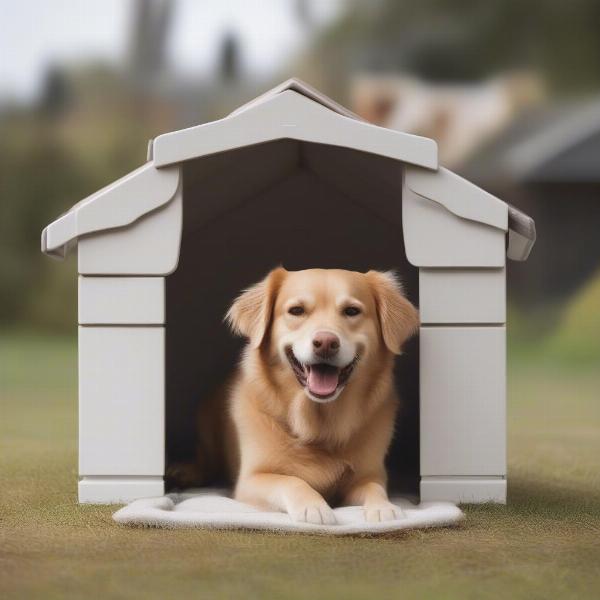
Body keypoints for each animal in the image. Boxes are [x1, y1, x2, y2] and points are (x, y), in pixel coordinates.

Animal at [171, 268, 420, 524]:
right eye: (297, 310)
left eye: (352, 311)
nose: (326, 343)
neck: (319, 425)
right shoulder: (252, 479)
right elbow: (291, 481)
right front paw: (314, 507)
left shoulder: (367, 474)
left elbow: (373, 487)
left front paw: (383, 507)